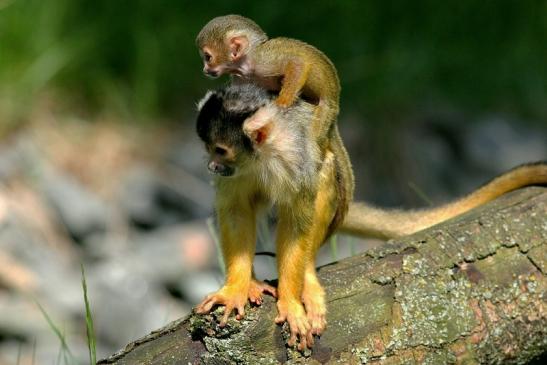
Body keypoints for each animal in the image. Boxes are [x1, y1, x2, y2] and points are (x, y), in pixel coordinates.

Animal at [194, 82, 547, 350]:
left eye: (220, 150)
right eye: (208, 148)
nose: (211, 165)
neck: (262, 156)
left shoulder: (297, 159)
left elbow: (299, 217)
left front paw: (291, 300)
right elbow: (235, 211)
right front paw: (236, 288)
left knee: (327, 172)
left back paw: (306, 275)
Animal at [195, 14, 340, 146]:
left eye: (208, 57)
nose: (205, 69)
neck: (246, 65)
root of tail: (335, 96)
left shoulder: (263, 61)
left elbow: (297, 63)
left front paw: (282, 102)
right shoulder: (240, 79)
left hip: (327, 109)